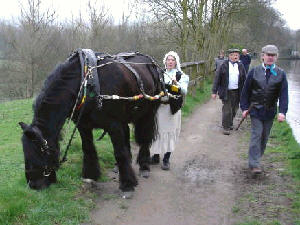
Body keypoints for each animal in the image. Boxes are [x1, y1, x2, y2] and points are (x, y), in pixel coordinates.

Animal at [19, 50, 163, 194]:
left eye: (40, 150)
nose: (33, 185)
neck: (87, 82)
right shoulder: (83, 125)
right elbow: (88, 148)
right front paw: (90, 175)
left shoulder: (114, 125)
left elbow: (119, 153)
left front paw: (127, 184)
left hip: (149, 112)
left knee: (145, 137)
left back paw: (144, 166)